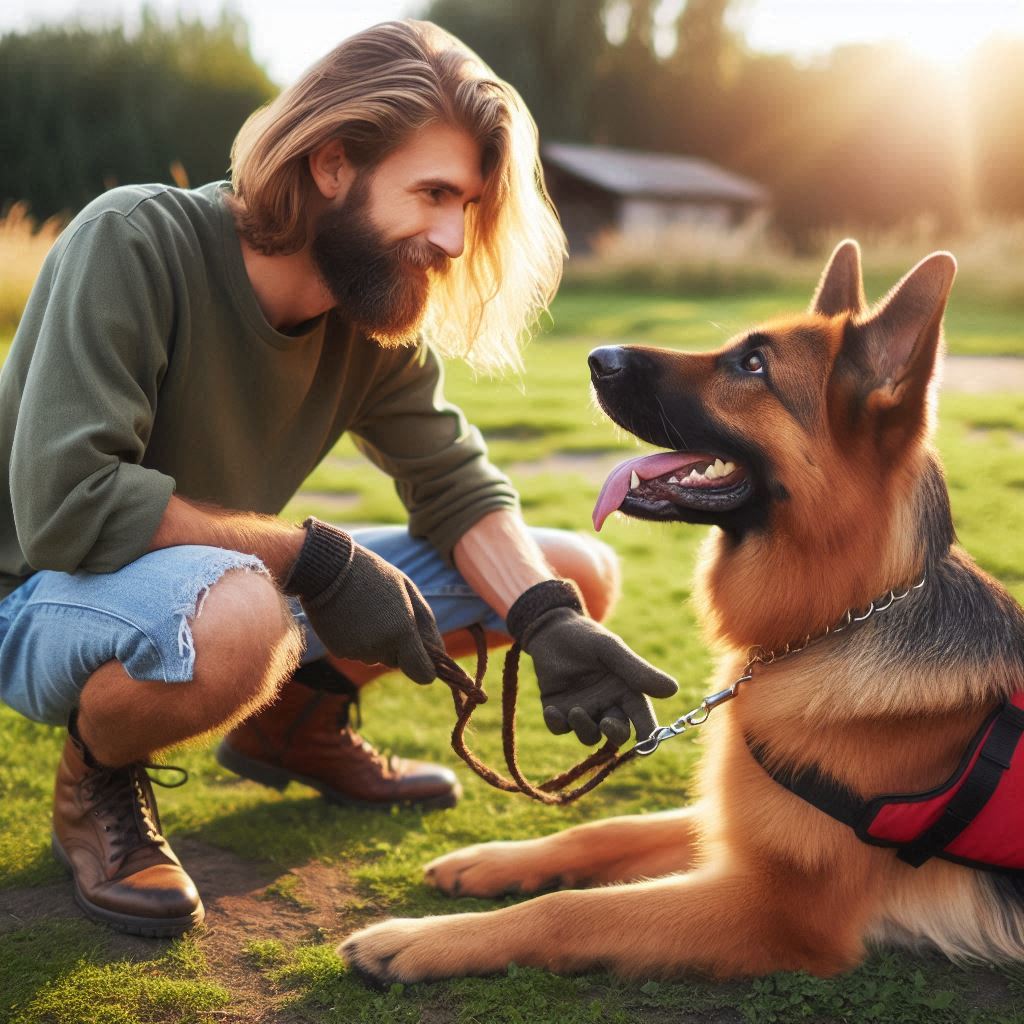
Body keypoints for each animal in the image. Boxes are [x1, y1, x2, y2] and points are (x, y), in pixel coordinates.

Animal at [342, 241, 1024, 983]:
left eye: (752, 366)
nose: (597, 358)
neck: (844, 620)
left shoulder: (777, 910)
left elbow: (572, 911)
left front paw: (418, 940)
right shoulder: (728, 826)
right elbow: (600, 830)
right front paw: (491, 861)